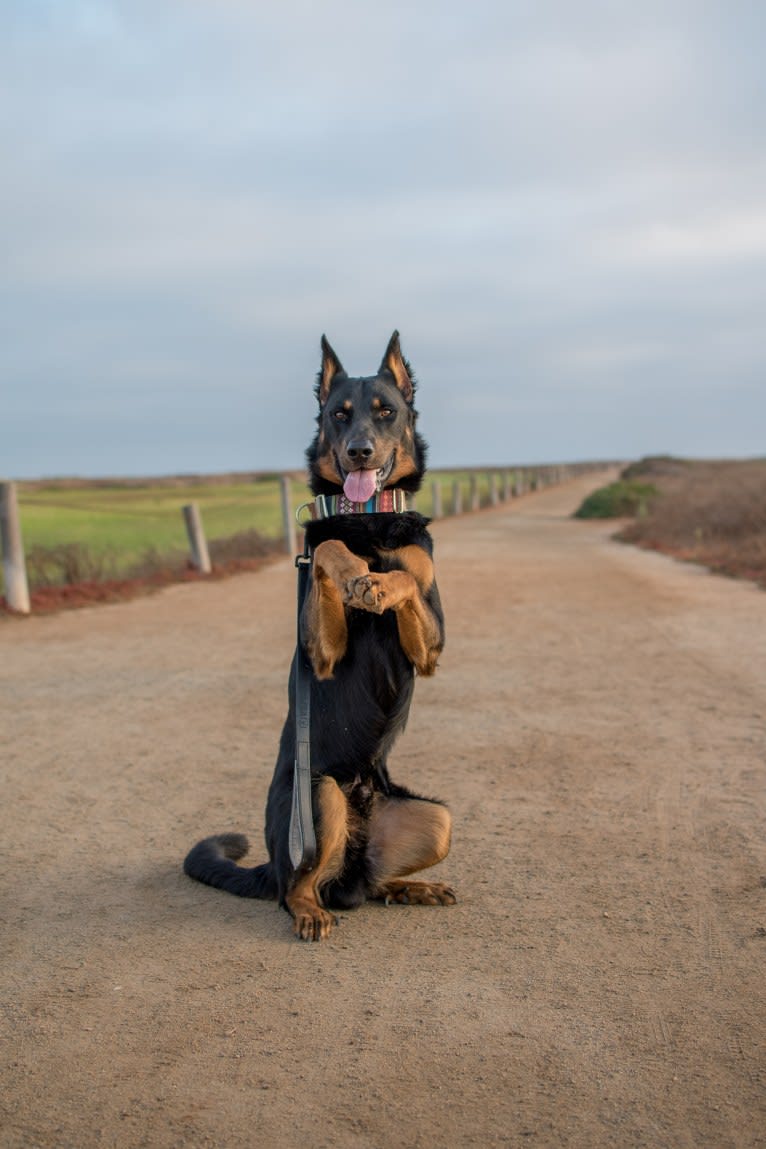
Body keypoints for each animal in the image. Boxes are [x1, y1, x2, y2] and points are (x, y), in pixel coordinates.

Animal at [182, 333, 452, 942]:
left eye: (385, 412)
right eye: (338, 415)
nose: (358, 452)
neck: (367, 518)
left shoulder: (430, 649)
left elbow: (409, 572)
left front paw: (381, 581)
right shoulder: (321, 653)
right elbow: (329, 546)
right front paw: (354, 569)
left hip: (439, 819)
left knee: (366, 886)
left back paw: (410, 889)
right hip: (320, 794)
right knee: (299, 888)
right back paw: (309, 912)